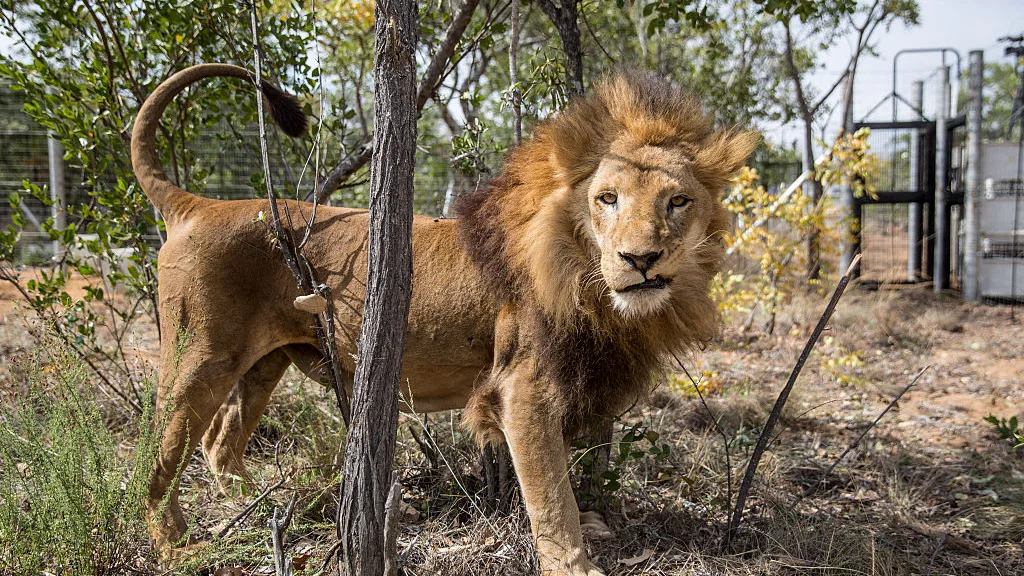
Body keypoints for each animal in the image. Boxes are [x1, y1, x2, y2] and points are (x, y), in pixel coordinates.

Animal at [134, 62, 761, 573]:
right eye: (607, 198)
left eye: (677, 201)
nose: (641, 259)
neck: (584, 276)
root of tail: (198, 205)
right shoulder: (522, 388)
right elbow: (550, 494)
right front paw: (575, 564)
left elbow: (554, 488)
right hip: (199, 356)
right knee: (158, 457)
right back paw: (179, 547)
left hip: (265, 364)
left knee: (220, 446)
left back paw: (280, 511)